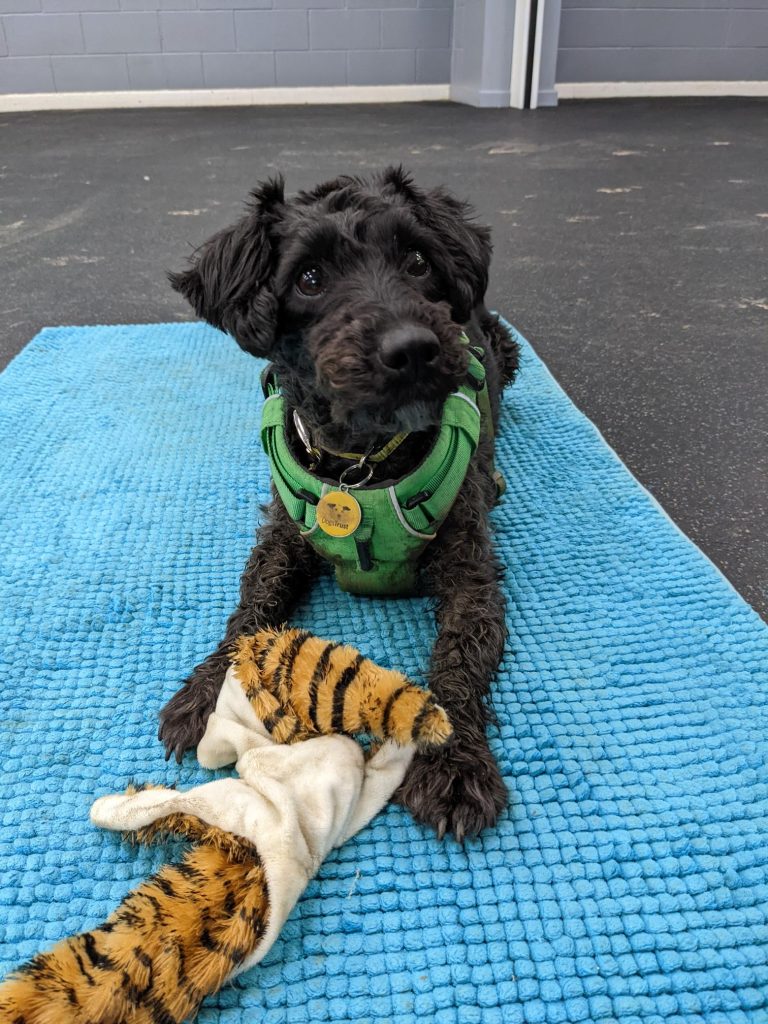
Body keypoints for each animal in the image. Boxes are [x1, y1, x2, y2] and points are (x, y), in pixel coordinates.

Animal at [162, 167, 524, 839]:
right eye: (309, 278)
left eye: (417, 261)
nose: (412, 347)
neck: (362, 467)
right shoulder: (282, 541)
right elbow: (248, 613)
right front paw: (204, 692)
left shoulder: (470, 572)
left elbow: (460, 655)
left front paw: (455, 765)